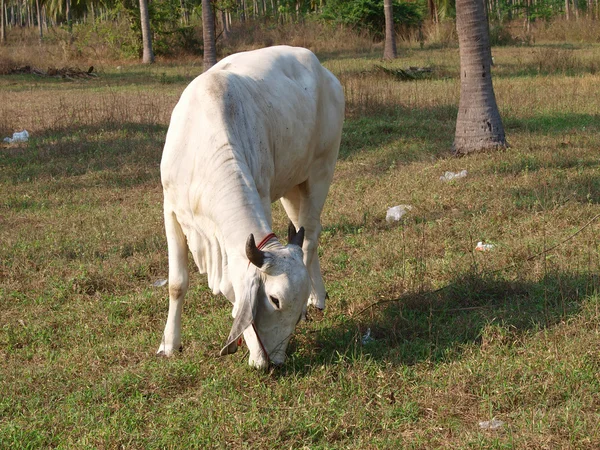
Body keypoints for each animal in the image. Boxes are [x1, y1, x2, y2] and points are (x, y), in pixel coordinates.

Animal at [157, 45, 344, 370]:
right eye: (274, 300)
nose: (275, 362)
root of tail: (326, 74)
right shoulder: (172, 211)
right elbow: (177, 283)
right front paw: (169, 344)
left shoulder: (262, 194)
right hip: (292, 187)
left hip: (321, 172)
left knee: (310, 240)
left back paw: (317, 297)